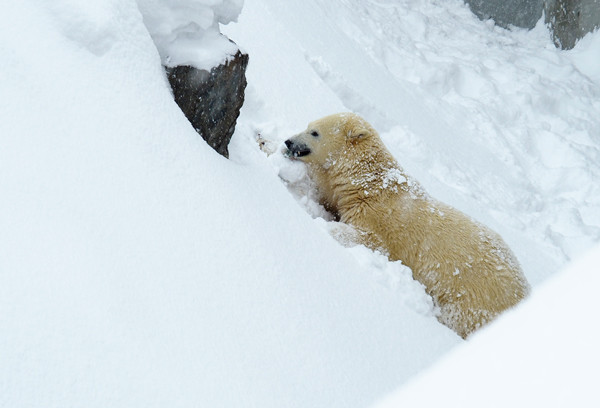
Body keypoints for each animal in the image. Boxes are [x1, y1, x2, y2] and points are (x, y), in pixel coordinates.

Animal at [284, 111, 528, 338]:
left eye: (314, 132)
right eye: (308, 124)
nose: (288, 142)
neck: (370, 183)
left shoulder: (379, 218)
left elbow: (369, 240)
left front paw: (323, 225)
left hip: (474, 296)